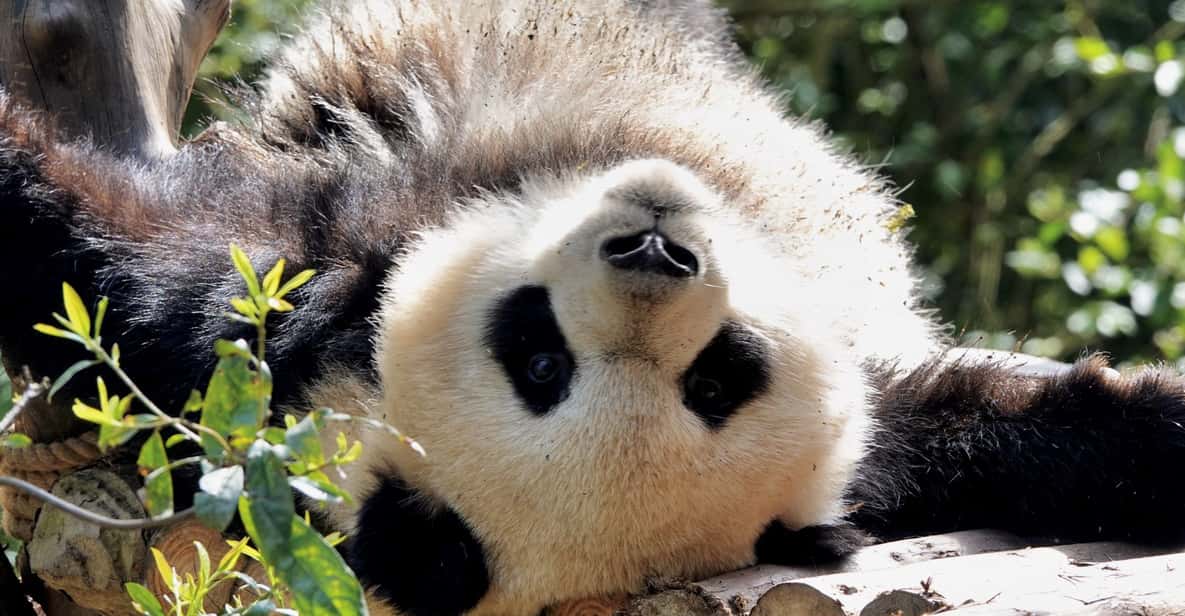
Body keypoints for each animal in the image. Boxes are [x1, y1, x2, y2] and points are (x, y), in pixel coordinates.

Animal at [2, 1, 1185, 615]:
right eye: (539, 361)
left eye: (716, 378)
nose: (656, 243)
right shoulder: (257, 309)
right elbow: (98, 252)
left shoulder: (889, 443)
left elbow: (1003, 429)